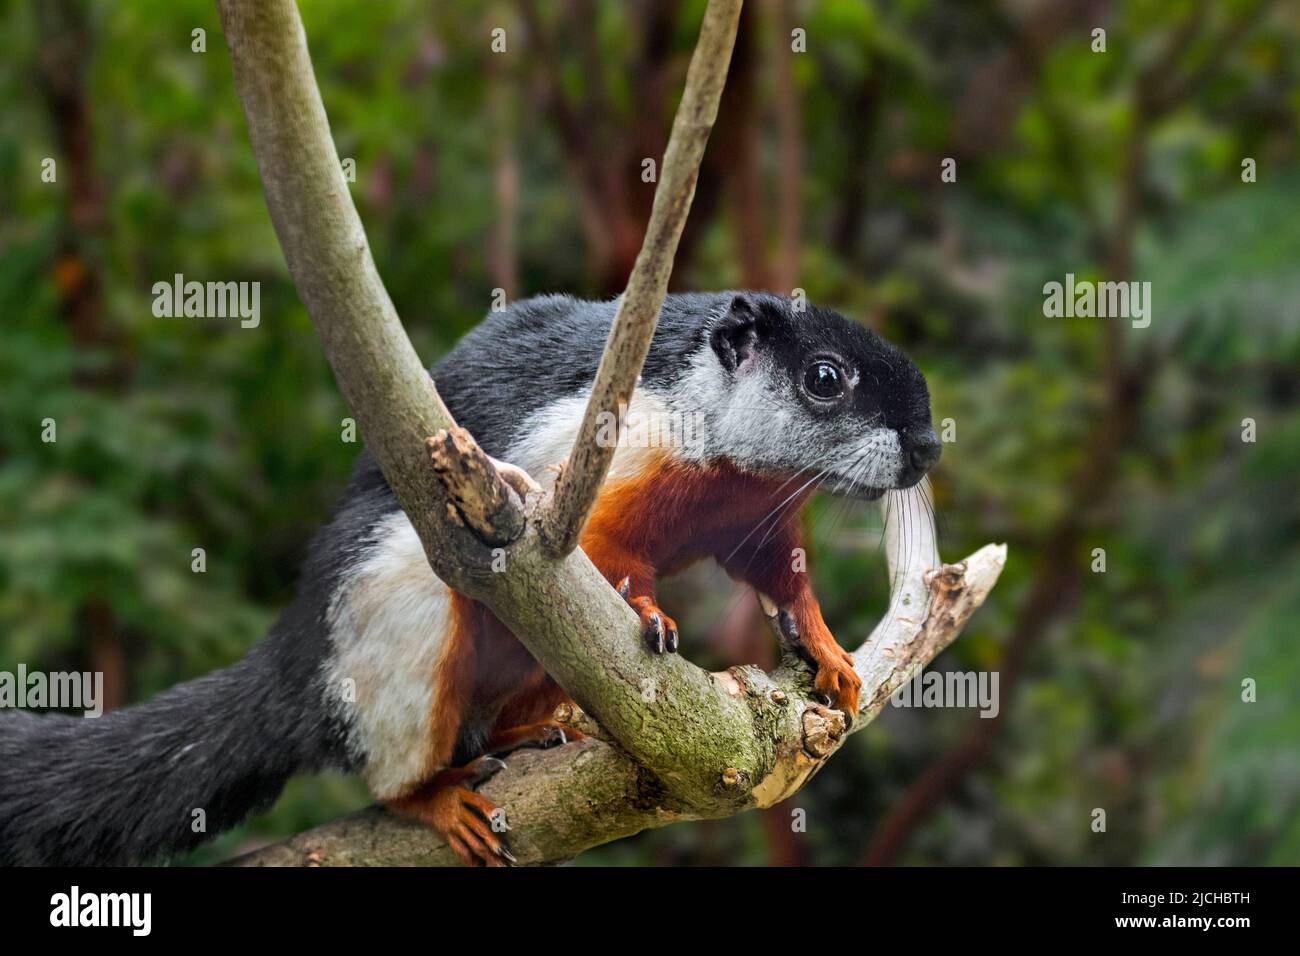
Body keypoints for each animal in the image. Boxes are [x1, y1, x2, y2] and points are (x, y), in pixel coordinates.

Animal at [0, 291, 935, 868]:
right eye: (824, 379)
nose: (928, 446)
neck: (727, 453)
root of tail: (292, 666)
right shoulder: (587, 468)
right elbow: (607, 555)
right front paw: (649, 611)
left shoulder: (756, 515)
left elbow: (779, 578)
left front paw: (828, 652)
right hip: (405, 618)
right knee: (392, 766)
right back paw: (438, 800)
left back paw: (538, 729)